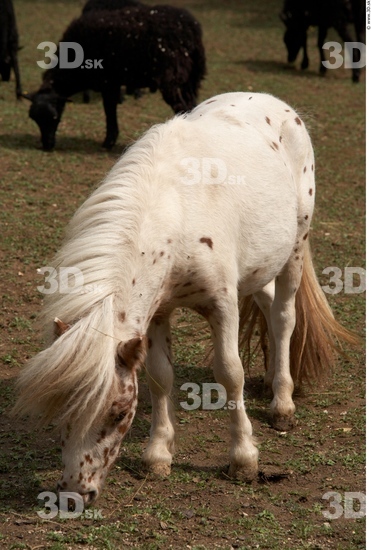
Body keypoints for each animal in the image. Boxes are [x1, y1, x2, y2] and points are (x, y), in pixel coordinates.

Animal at [13, 92, 358, 506]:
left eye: (118, 414)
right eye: (62, 413)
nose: (74, 493)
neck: (175, 212)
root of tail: (276, 103)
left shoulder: (222, 306)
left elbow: (229, 373)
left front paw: (243, 458)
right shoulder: (157, 310)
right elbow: (160, 376)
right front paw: (158, 455)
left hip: (294, 248)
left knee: (283, 317)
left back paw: (282, 403)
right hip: (259, 265)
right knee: (267, 305)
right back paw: (272, 377)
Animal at [22, 4, 206, 152]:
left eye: (54, 117)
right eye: (34, 118)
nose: (47, 146)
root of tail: (191, 27)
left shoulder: (108, 82)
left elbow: (109, 110)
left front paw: (108, 142)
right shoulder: (113, 83)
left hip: (172, 78)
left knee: (181, 106)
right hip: (189, 78)